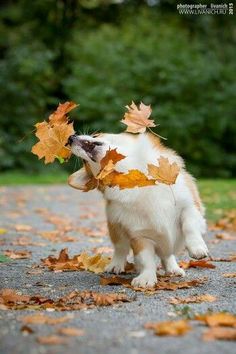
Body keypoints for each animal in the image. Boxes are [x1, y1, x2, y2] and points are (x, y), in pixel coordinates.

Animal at [68, 133, 208, 288]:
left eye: (95, 135)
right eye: (84, 162)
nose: (70, 138)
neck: (133, 175)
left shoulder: (190, 206)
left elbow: (189, 226)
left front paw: (197, 248)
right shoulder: (140, 235)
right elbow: (146, 260)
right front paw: (146, 278)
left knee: (167, 254)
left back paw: (173, 268)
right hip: (115, 227)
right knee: (120, 248)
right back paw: (116, 265)